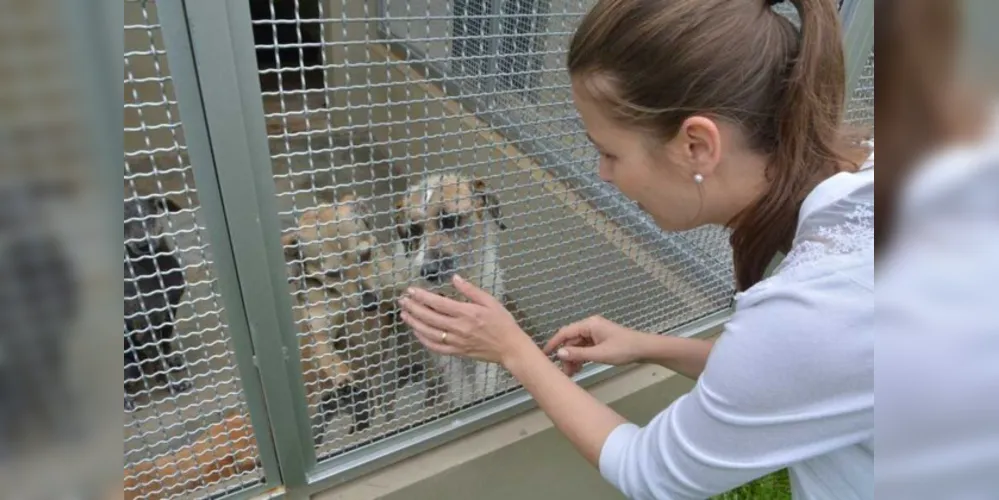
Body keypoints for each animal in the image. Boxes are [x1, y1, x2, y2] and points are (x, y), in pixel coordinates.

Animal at [125, 195, 193, 410]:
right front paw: (172, 384)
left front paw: (171, 362)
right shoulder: (144, 329)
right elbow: (159, 361)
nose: (142, 245)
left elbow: (165, 343)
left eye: (149, 216)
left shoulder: (170, 310)